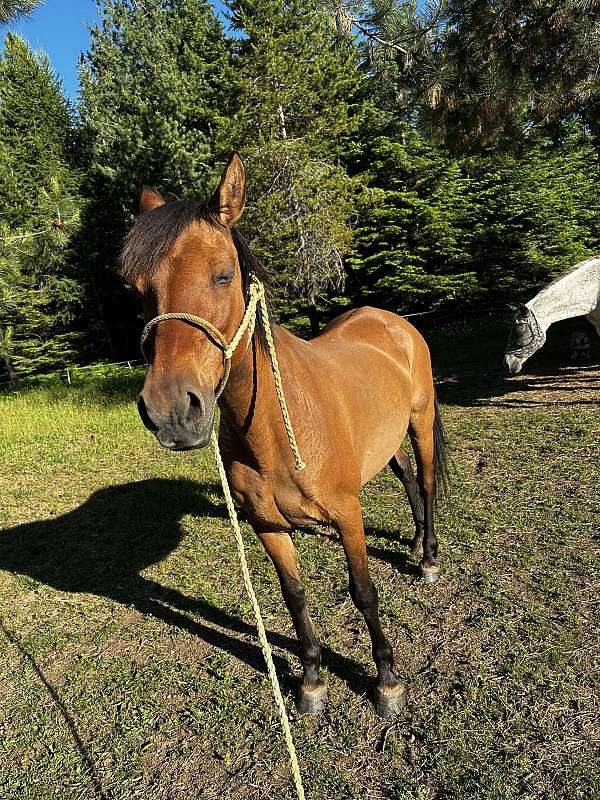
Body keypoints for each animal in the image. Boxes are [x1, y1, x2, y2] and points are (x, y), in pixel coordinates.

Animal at [122, 153, 449, 718]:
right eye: (141, 292)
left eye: (223, 275)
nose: (171, 412)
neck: (276, 427)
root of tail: (393, 321)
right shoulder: (268, 526)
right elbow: (293, 595)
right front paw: (312, 681)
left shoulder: (348, 514)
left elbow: (364, 591)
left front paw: (386, 681)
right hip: (382, 441)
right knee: (407, 478)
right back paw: (412, 539)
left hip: (419, 422)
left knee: (426, 480)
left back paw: (426, 556)